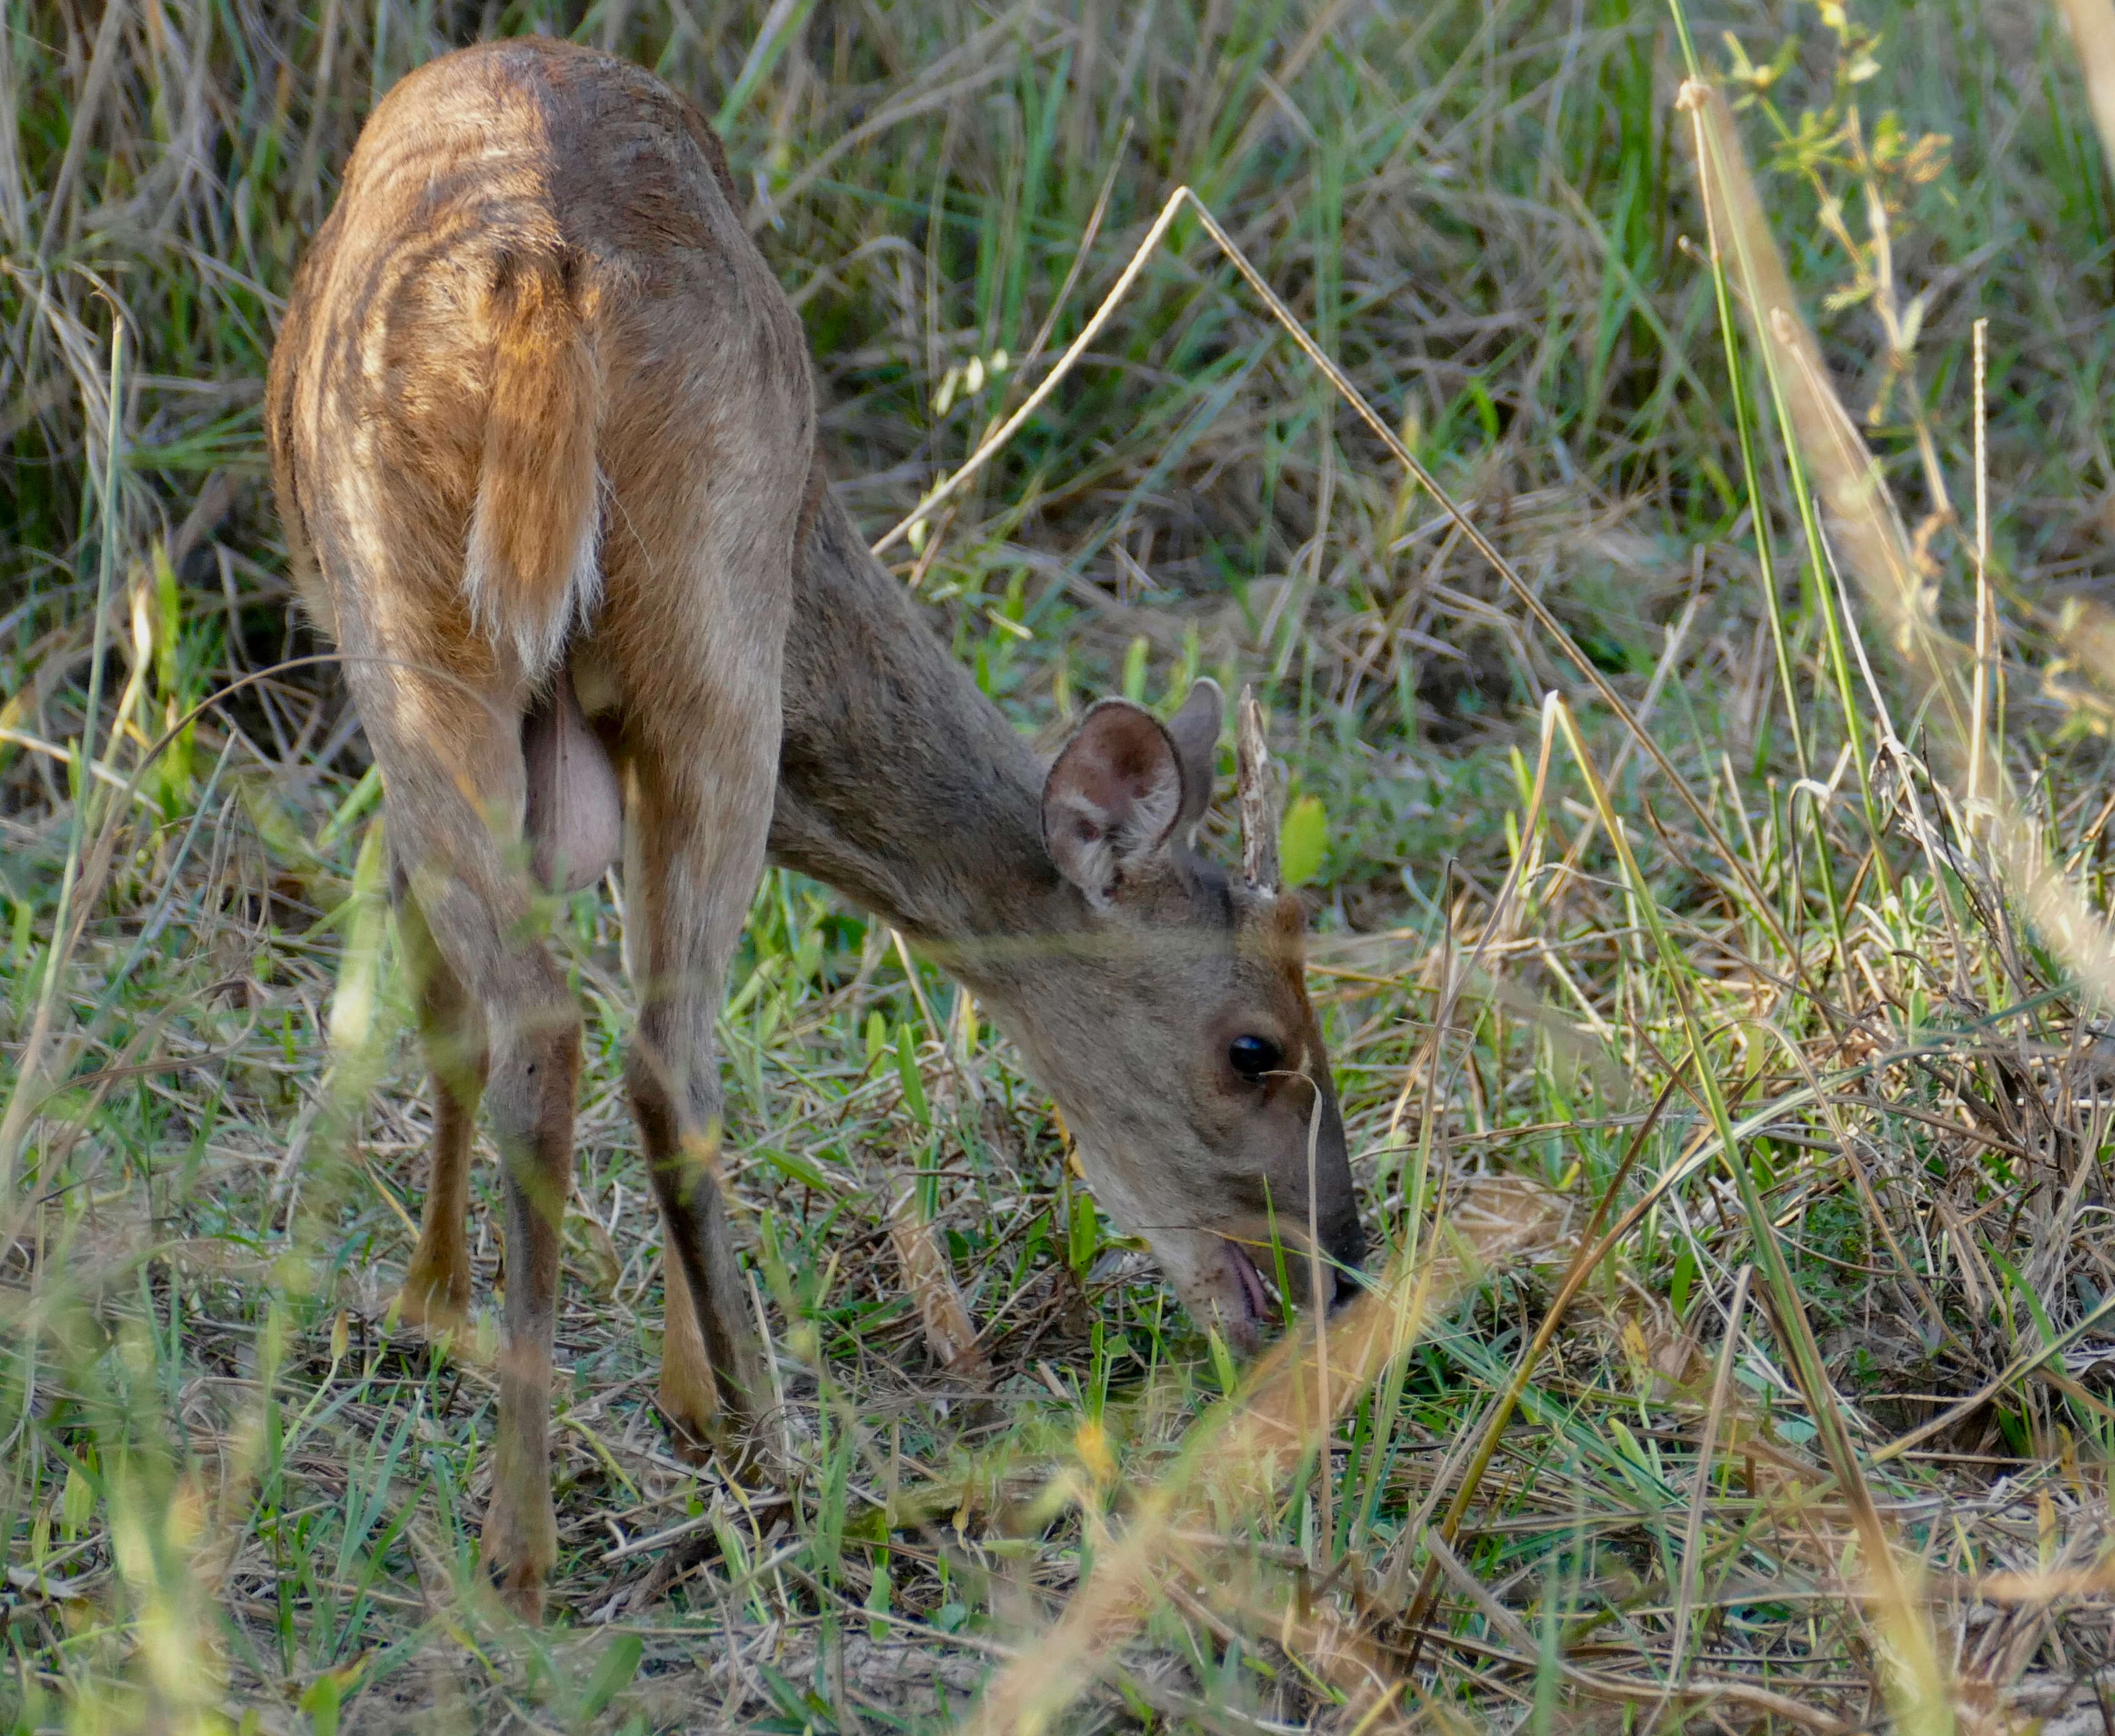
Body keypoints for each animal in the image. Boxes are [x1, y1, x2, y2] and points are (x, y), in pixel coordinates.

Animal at [264, 37, 1362, 1615]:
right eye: (1255, 1046)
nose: (1344, 1270)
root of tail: (541, 284)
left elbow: (447, 992)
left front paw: (447, 1311)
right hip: (677, 636)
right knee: (639, 1044)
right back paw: (715, 1450)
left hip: (442, 634)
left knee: (585, 1032)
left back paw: (592, 1501)